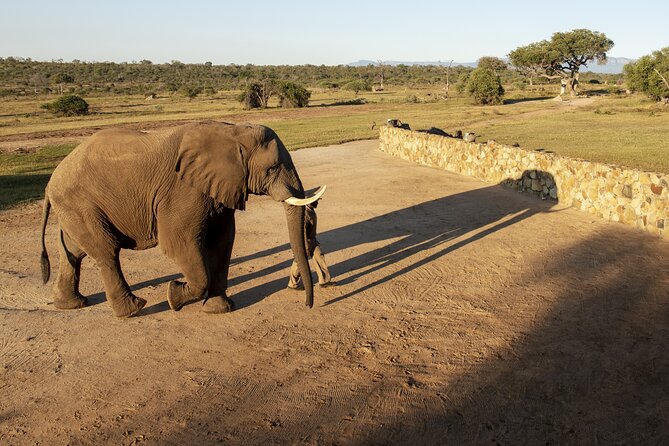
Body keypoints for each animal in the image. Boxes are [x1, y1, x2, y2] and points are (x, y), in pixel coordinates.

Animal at [39, 121, 324, 317]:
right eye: (272, 168)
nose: (308, 304)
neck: (233, 132)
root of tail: (50, 181)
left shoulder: (217, 189)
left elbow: (222, 242)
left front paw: (219, 309)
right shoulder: (181, 190)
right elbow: (179, 244)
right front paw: (173, 295)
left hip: (74, 206)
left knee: (73, 250)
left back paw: (70, 304)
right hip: (80, 202)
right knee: (106, 251)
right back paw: (134, 309)